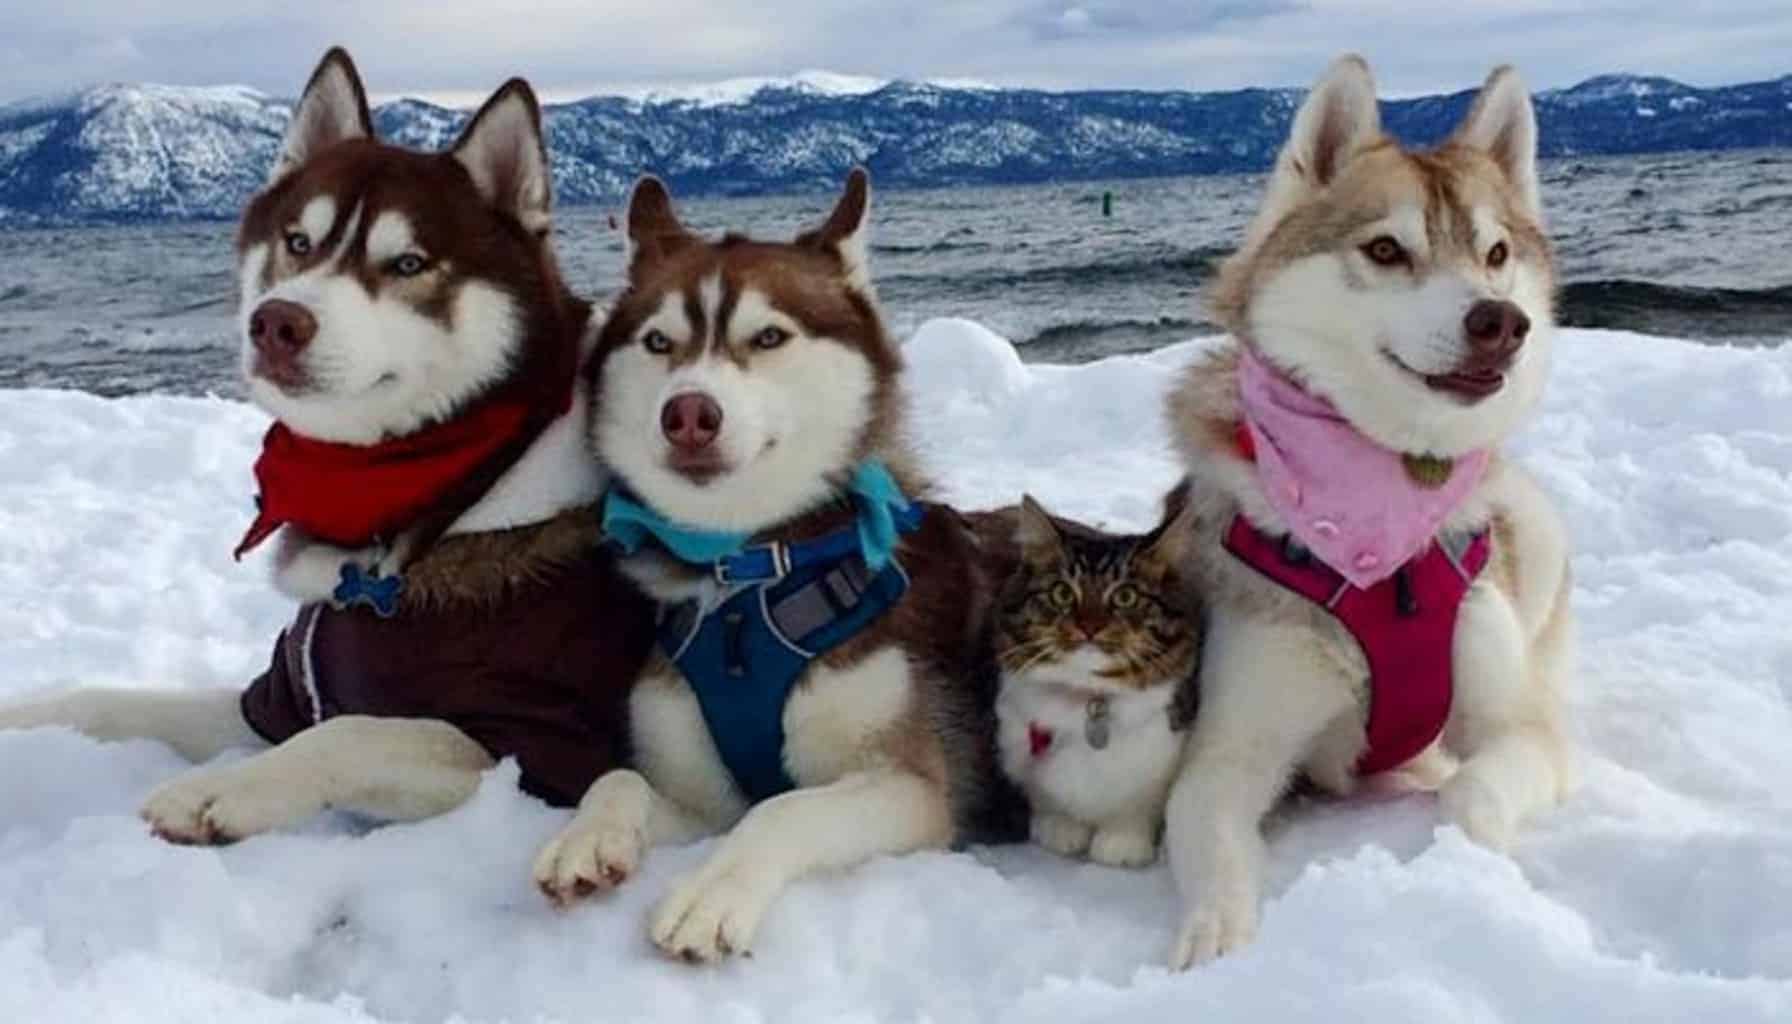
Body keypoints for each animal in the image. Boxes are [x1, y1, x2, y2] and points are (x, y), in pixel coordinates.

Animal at [0, 48, 652, 841]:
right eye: (299, 243)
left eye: (407, 264)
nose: (276, 323)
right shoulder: (276, 698)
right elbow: (108, 701)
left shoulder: (543, 747)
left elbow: (357, 730)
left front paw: (221, 789)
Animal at [530, 170, 1014, 963]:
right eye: (658, 342)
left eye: (768, 336)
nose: (688, 414)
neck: (748, 579)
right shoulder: (703, 797)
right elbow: (621, 777)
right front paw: (589, 836)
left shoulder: (914, 785)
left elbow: (787, 809)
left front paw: (711, 893)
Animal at [991, 495, 1202, 867]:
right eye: (1062, 593)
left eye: (1125, 596)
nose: (1089, 626)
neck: (1085, 699)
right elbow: (1053, 805)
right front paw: (1060, 833)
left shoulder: (1158, 763)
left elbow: (1134, 810)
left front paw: (1121, 848)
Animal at [1158, 55, 1576, 968]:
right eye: (1387, 250)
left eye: (1496, 253)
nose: (1502, 322)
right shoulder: (1227, 749)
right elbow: (1210, 833)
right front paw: (1214, 936)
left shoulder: (1520, 730)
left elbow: (1476, 791)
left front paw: (1473, 870)